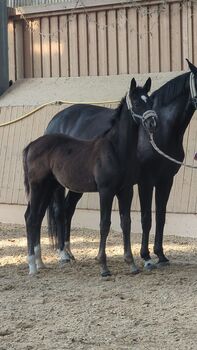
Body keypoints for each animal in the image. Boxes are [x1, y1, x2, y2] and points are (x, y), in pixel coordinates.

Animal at [23, 78, 156, 274]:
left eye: (151, 101)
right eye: (137, 102)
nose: (153, 122)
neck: (116, 149)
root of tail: (32, 144)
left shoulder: (126, 190)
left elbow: (126, 223)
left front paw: (130, 263)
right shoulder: (106, 191)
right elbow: (104, 224)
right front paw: (103, 266)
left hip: (48, 187)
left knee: (36, 218)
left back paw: (40, 262)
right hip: (38, 187)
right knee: (32, 218)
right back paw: (33, 266)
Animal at [45, 59, 197, 268]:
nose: (152, 124)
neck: (162, 132)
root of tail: (55, 120)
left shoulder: (166, 180)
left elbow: (161, 216)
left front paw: (161, 255)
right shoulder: (145, 181)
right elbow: (146, 218)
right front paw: (146, 257)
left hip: (78, 183)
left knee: (69, 208)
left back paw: (69, 250)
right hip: (61, 184)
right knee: (60, 210)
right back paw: (63, 254)